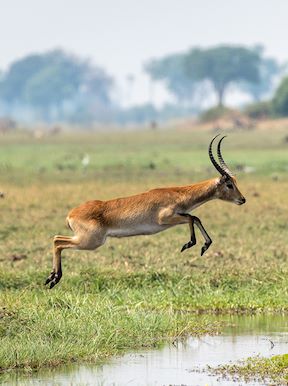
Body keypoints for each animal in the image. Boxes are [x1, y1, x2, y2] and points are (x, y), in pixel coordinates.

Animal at [45, 134, 245, 288]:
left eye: (235, 181)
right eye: (229, 184)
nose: (242, 199)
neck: (178, 194)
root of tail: (71, 214)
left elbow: (195, 217)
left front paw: (203, 246)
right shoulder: (165, 219)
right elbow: (192, 217)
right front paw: (190, 244)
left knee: (57, 239)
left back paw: (52, 279)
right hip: (90, 241)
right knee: (57, 241)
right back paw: (54, 278)